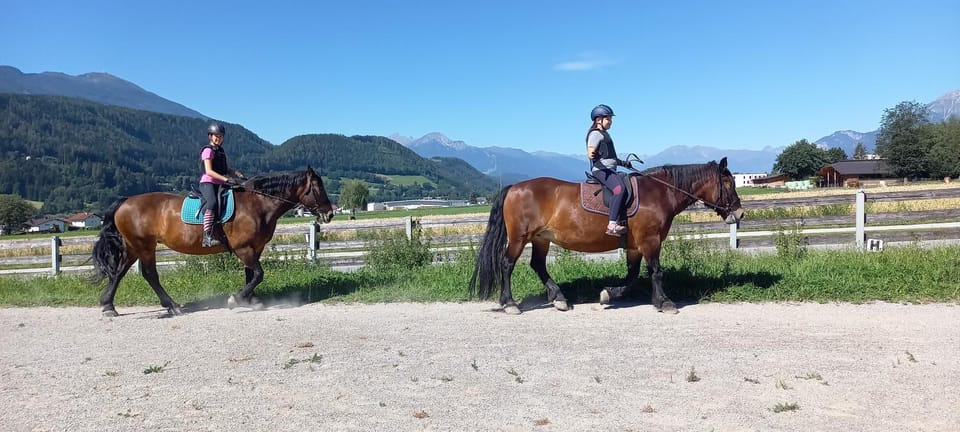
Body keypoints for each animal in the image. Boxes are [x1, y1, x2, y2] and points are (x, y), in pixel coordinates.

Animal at [92, 167, 335, 317]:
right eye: (317, 187)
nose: (330, 214)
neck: (258, 203)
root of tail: (125, 202)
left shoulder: (254, 248)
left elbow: (251, 274)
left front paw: (252, 300)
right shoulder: (243, 248)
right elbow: (258, 274)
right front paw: (236, 299)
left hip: (133, 246)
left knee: (119, 272)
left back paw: (108, 305)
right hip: (144, 246)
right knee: (150, 274)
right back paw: (172, 306)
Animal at [468, 157, 744, 314]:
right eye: (729, 184)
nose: (739, 213)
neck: (658, 192)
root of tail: (514, 187)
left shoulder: (635, 245)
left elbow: (633, 275)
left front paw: (608, 294)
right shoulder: (650, 240)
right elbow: (656, 272)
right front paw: (665, 302)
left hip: (541, 238)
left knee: (537, 265)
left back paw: (559, 298)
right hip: (519, 237)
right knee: (507, 265)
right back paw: (510, 304)